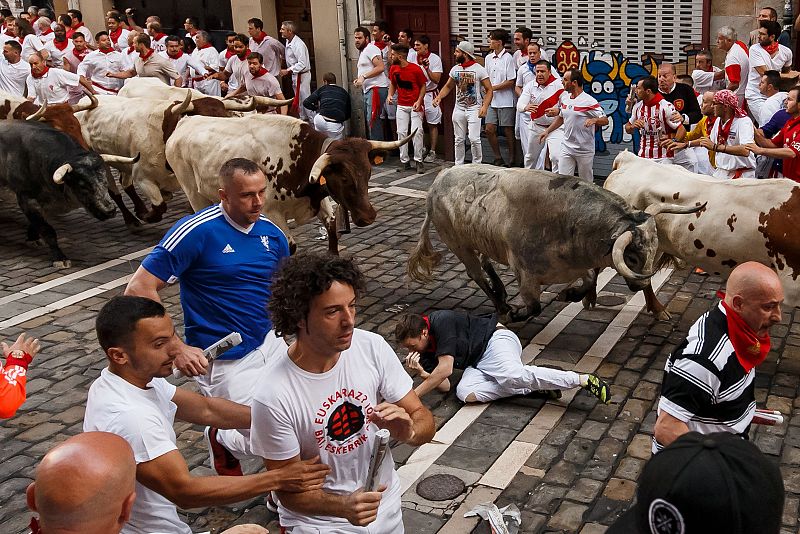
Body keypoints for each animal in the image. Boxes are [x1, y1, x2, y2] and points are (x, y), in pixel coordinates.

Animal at [0, 123, 137, 270]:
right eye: (83, 185)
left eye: (105, 180)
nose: (109, 211)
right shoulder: (26, 198)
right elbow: (47, 230)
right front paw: (60, 258)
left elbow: (37, 223)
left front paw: (33, 238)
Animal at [165, 112, 410, 253]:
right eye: (343, 177)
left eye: (368, 173)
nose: (369, 217)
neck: (298, 157)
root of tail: (186, 121)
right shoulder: (271, 212)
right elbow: (288, 247)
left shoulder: (319, 199)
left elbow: (332, 230)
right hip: (194, 193)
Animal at [410, 164, 696, 322]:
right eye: (633, 256)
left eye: (654, 249)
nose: (642, 285)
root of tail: (439, 180)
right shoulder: (525, 273)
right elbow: (534, 306)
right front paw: (516, 313)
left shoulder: (579, 267)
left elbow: (588, 282)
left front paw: (568, 294)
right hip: (458, 244)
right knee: (476, 273)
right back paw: (501, 305)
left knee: (484, 261)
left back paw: (500, 291)